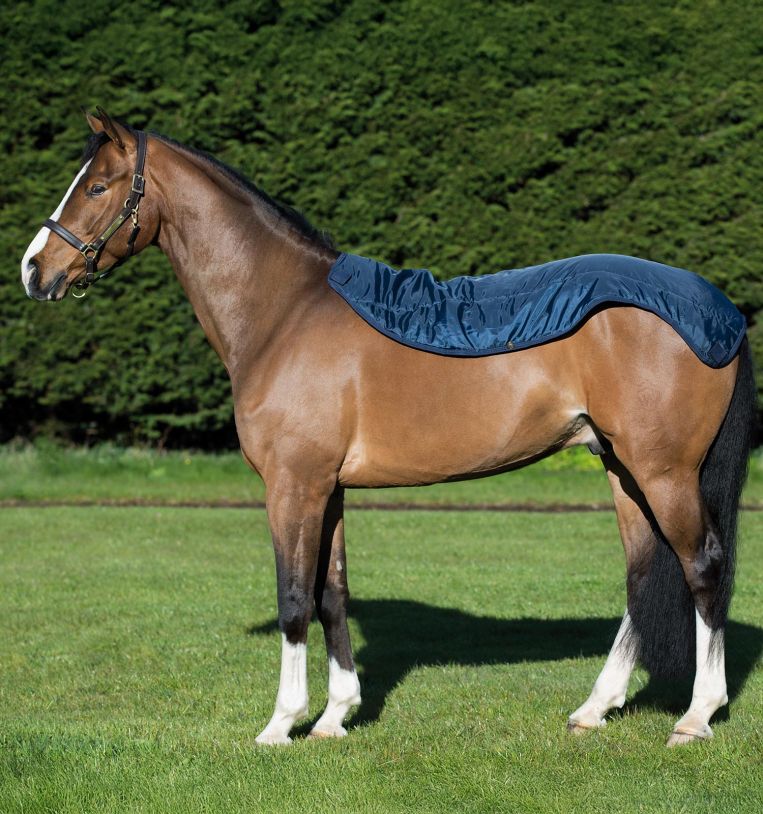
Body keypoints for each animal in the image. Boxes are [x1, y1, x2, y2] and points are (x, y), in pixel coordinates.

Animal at [21, 109, 756, 746]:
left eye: (96, 185)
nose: (34, 270)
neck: (284, 313)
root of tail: (715, 307)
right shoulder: (327, 488)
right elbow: (333, 594)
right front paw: (335, 716)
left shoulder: (292, 485)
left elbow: (295, 598)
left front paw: (281, 724)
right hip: (622, 469)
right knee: (640, 577)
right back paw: (594, 707)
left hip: (662, 473)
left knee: (701, 567)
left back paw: (696, 716)